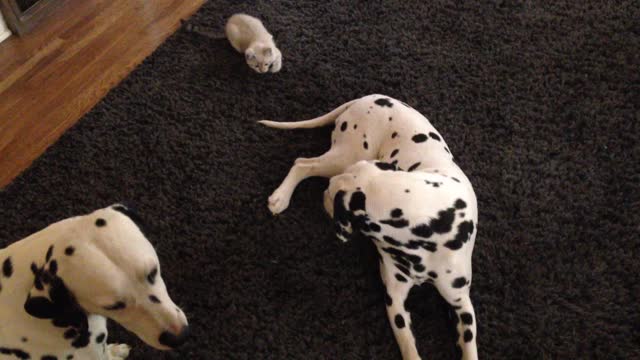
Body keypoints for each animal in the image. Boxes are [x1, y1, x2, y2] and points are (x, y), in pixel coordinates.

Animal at [258, 94, 476, 358]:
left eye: (333, 195)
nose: (326, 190)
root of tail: (367, 97)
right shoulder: (394, 298)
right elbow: (409, 347)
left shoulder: (461, 303)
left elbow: (470, 347)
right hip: (344, 157)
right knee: (303, 164)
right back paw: (281, 197)